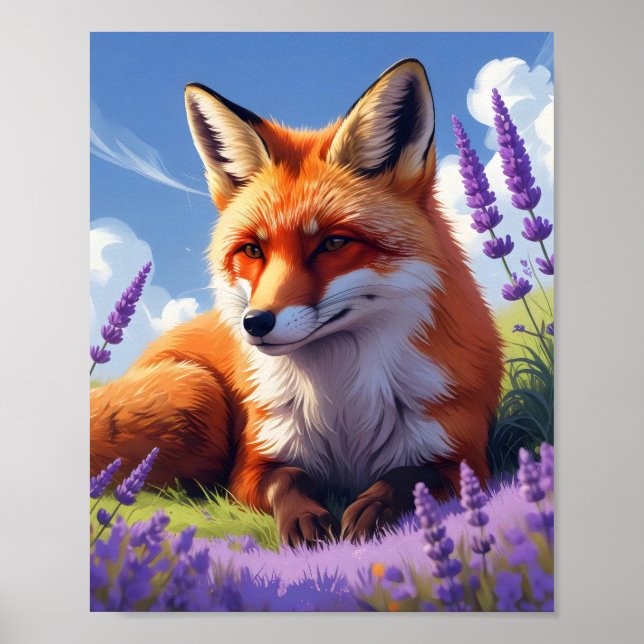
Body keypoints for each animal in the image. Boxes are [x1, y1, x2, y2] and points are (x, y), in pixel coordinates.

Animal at [90, 58, 503, 546]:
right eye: (253, 250)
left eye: (333, 243)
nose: (255, 323)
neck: (344, 412)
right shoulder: (254, 463)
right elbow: (287, 479)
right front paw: (306, 520)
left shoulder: (463, 456)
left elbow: (407, 477)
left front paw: (373, 510)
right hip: (198, 396)